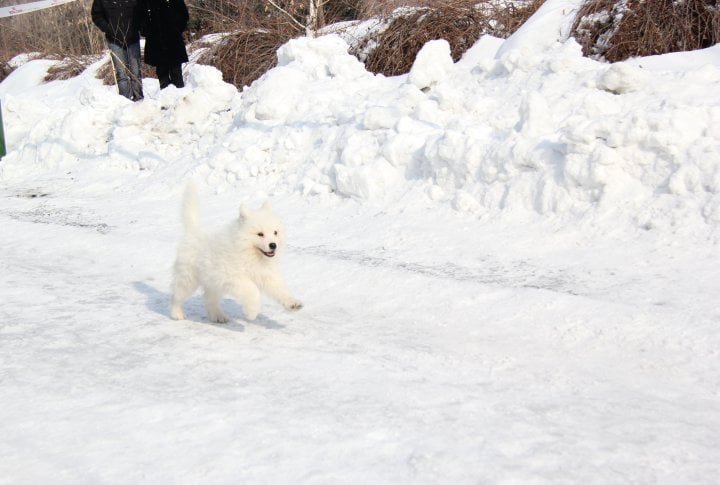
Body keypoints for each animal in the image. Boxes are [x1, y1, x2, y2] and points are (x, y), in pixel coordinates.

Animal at [170, 185, 302, 322]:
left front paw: (293, 303)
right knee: (177, 295)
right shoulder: (233, 276)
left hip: (214, 281)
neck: (250, 253)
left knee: (209, 298)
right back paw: (177, 313)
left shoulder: (267, 275)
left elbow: (281, 289)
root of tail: (193, 232)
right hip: (189, 277)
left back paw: (217, 316)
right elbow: (253, 291)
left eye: (275, 232)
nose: (273, 245)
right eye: (260, 234)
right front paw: (251, 313)